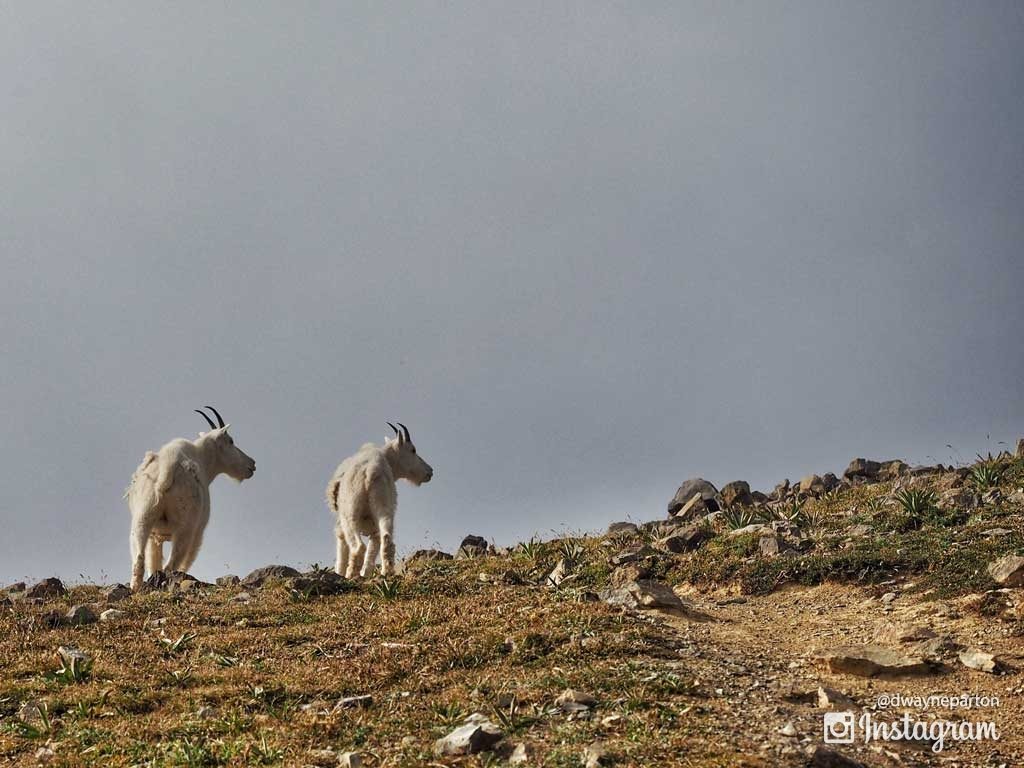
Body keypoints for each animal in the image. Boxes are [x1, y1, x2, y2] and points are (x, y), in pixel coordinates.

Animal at [122, 405, 256, 593]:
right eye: (231, 441)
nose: (252, 464)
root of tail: (168, 468)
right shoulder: (198, 531)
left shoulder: (155, 535)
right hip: (185, 527)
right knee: (172, 564)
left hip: (143, 515)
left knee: (140, 557)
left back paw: (136, 588)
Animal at [325, 423, 434, 581]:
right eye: (413, 450)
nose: (429, 471)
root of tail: (372, 471)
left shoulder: (341, 522)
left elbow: (341, 544)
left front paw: (339, 572)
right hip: (384, 507)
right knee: (385, 537)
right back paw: (386, 571)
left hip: (350, 514)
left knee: (359, 546)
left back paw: (352, 574)